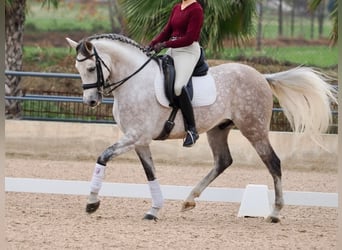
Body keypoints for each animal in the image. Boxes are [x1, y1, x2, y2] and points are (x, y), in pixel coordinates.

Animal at [65, 33, 336, 223]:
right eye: (78, 69)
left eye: (91, 68)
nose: (91, 102)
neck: (134, 81)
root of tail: (261, 76)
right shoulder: (139, 141)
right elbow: (151, 174)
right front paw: (154, 210)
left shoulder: (135, 137)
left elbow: (103, 156)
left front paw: (92, 203)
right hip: (218, 129)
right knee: (223, 161)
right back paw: (189, 200)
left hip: (254, 129)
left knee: (273, 163)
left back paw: (275, 213)